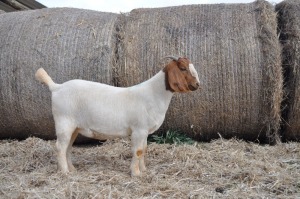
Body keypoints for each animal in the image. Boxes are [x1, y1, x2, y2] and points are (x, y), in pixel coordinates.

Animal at [35, 56, 199, 176]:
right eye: (183, 68)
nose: (197, 85)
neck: (153, 94)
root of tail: (57, 87)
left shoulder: (145, 131)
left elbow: (144, 149)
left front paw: (143, 170)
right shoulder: (139, 129)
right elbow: (138, 151)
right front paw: (136, 174)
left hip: (74, 127)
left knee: (68, 148)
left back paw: (72, 170)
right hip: (64, 122)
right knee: (60, 147)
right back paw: (64, 172)